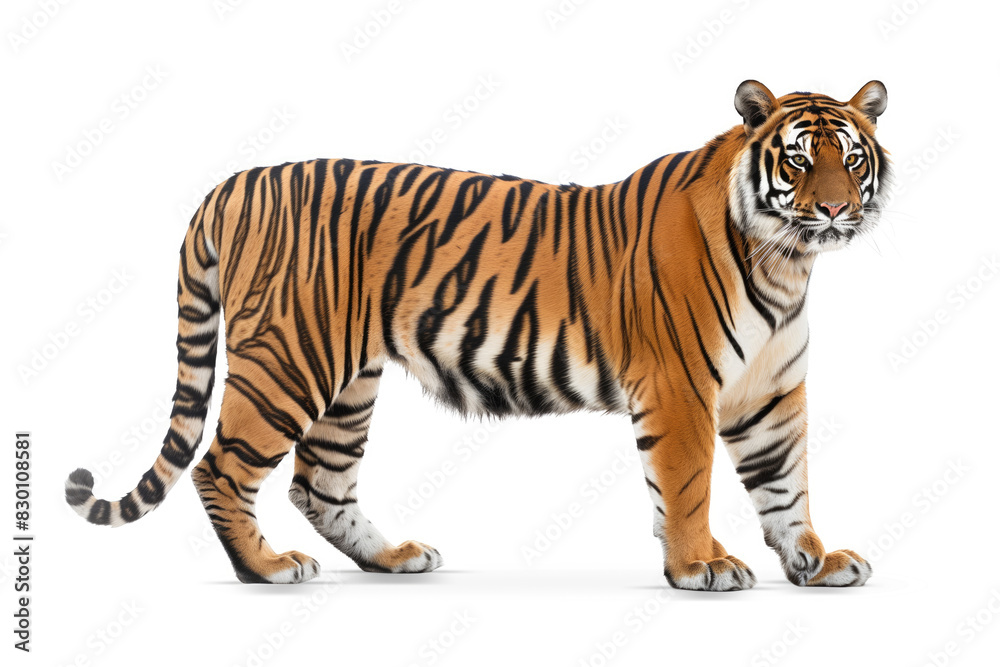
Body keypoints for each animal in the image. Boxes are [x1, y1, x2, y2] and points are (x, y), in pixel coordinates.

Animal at [65, 80, 890, 590]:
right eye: (797, 159)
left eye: (851, 159)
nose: (835, 209)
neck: (787, 263)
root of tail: (233, 182)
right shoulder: (680, 386)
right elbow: (689, 485)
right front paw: (701, 567)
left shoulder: (771, 392)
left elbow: (787, 483)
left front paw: (816, 560)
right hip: (286, 361)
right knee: (220, 467)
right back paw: (266, 568)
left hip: (348, 380)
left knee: (319, 482)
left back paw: (393, 556)